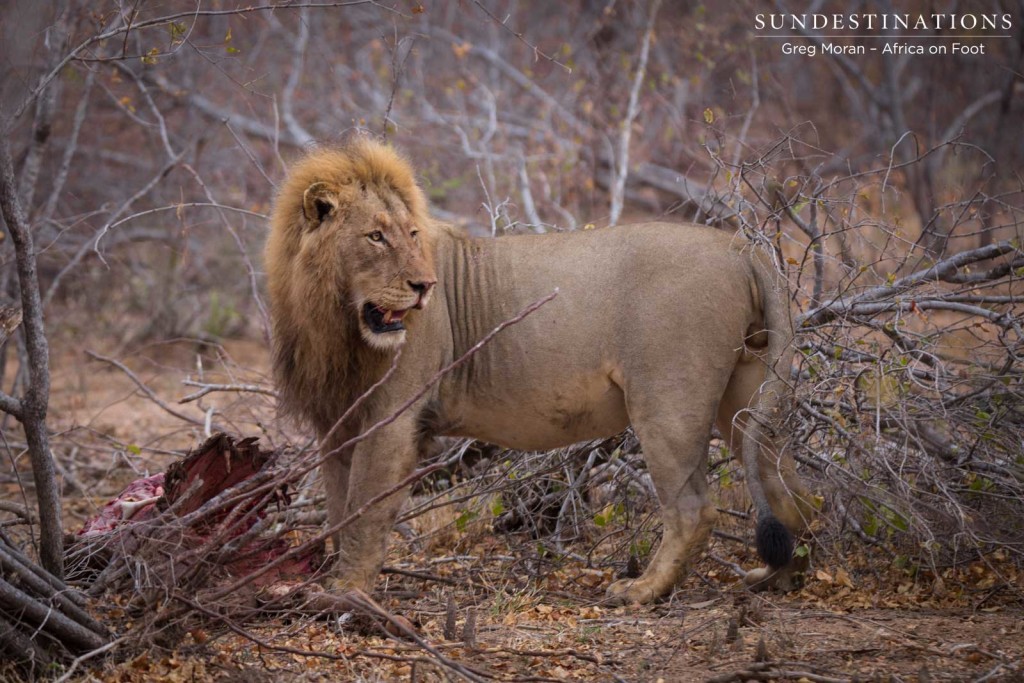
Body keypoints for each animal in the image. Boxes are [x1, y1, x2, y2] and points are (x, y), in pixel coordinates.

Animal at [266, 137, 815, 602]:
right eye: (376, 236)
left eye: (413, 233)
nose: (424, 286)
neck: (333, 321)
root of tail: (741, 248)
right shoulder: (335, 425)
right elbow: (339, 509)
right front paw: (332, 578)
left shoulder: (393, 419)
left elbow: (364, 509)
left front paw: (343, 594)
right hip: (745, 391)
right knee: (791, 488)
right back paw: (779, 576)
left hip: (667, 402)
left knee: (693, 508)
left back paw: (642, 591)